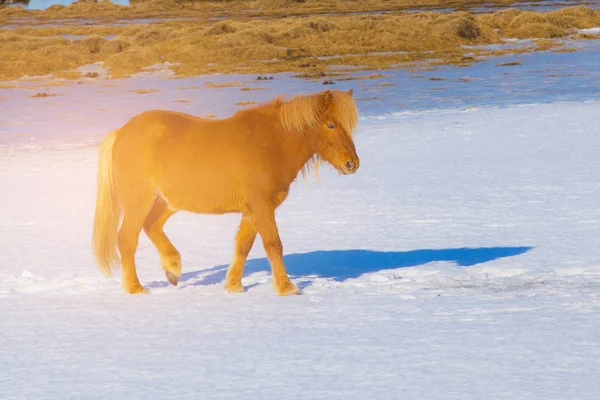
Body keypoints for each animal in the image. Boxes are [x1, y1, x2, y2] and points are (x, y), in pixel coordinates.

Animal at [91, 89, 358, 296]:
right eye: (331, 125)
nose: (352, 164)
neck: (271, 143)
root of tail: (121, 133)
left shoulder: (253, 210)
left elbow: (243, 246)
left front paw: (234, 286)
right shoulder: (262, 206)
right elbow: (273, 245)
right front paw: (286, 288)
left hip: (168, 202)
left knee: (151, 225)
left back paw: (173, 268)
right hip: (139, 201)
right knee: (127, 238)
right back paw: (135, 288)